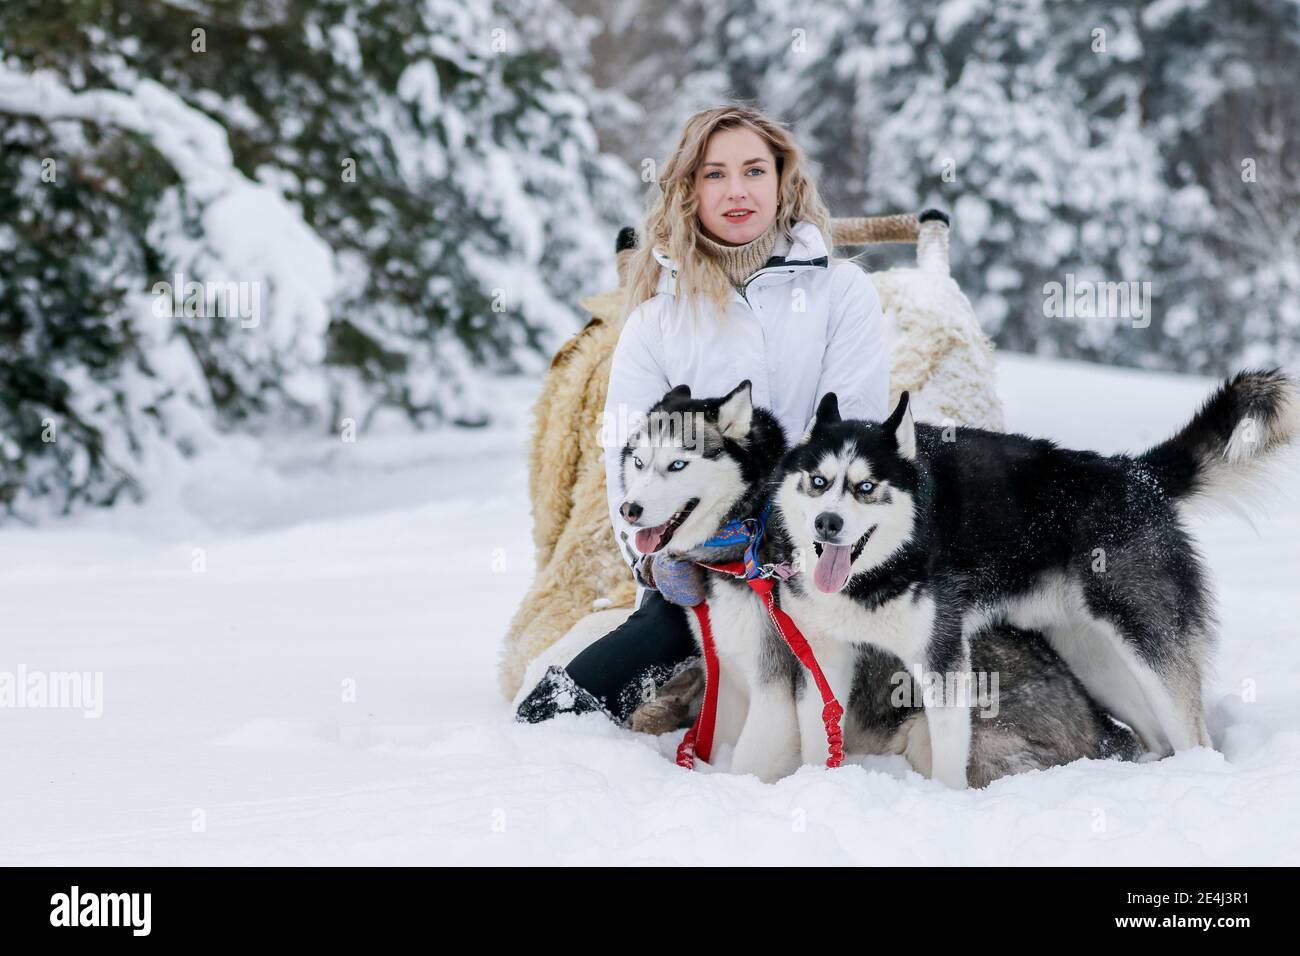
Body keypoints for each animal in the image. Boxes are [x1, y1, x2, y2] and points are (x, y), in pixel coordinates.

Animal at [613, 377, 795, 780]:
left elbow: (749, 764)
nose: (628, 510)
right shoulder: (724, 667)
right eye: (639, 462)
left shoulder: (774, 681)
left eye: (678, 464)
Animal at [769, 369, 1300, 790]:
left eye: (866, 487)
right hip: (1094, 660)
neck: (875, 573)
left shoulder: (943, 663)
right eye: (818, 481)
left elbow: (950, 760)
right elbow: (819, 739)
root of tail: (1135, 475)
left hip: (1148, 647)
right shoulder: (823, 658)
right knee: (1151, 735)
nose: (828, 523)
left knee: (1193, 735)